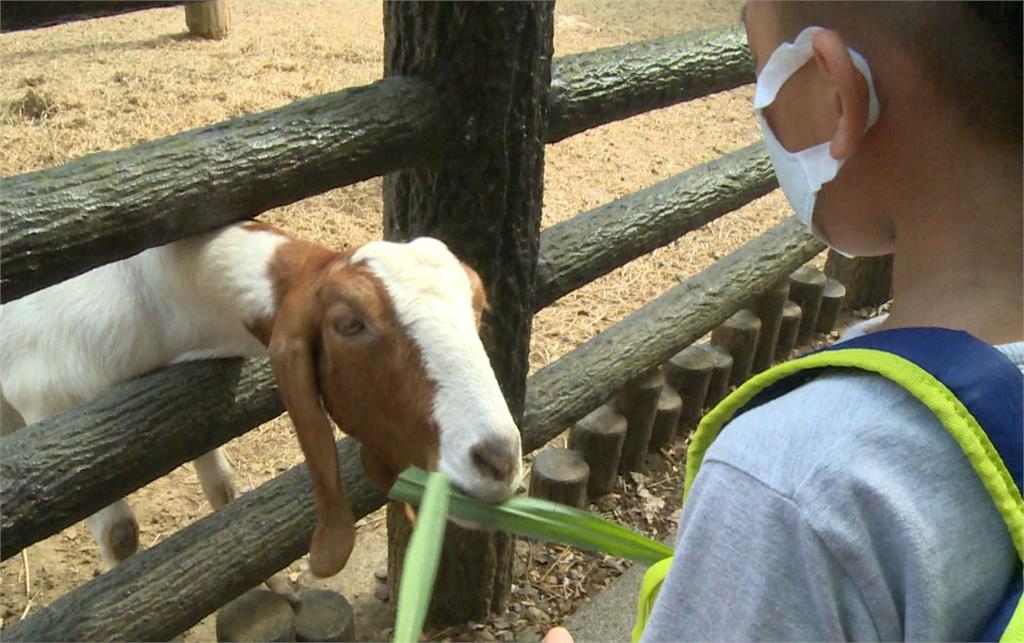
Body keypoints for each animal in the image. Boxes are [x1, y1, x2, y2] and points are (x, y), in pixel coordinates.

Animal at [0, 222, 524, 577]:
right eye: (349, 323)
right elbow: (121, 537)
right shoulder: (49, 410)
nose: (498, 461)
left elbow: (221, 486)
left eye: (479, 308)